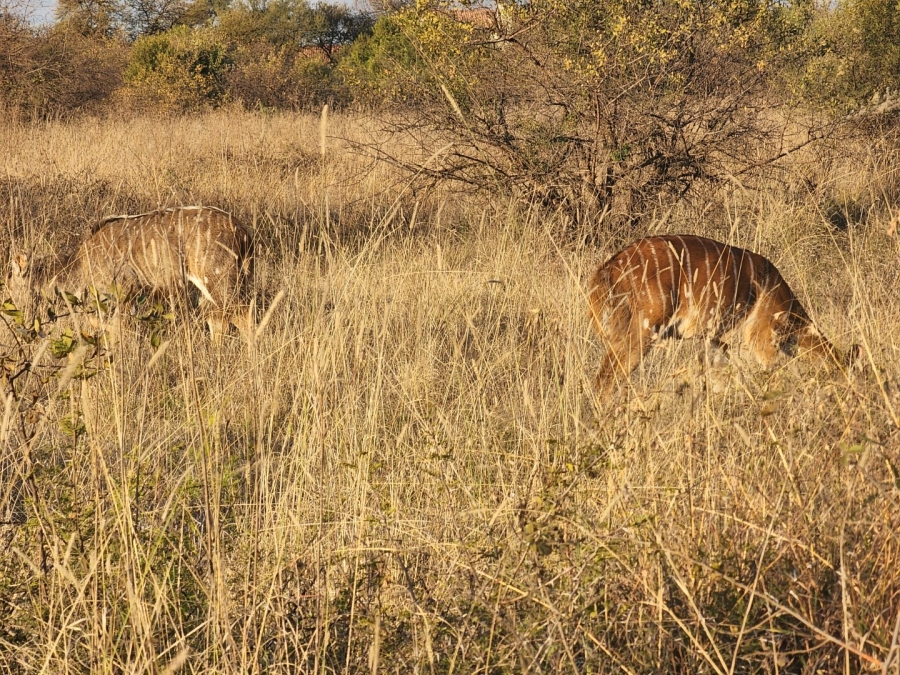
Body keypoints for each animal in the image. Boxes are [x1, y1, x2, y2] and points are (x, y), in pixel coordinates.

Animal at [7, 206, 253, 340]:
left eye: (9, 283)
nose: (11, 312)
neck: (80, 265)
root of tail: (244, 232)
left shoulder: (124, 294)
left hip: (219, 279)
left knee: (243, 317)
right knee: (218, 320)